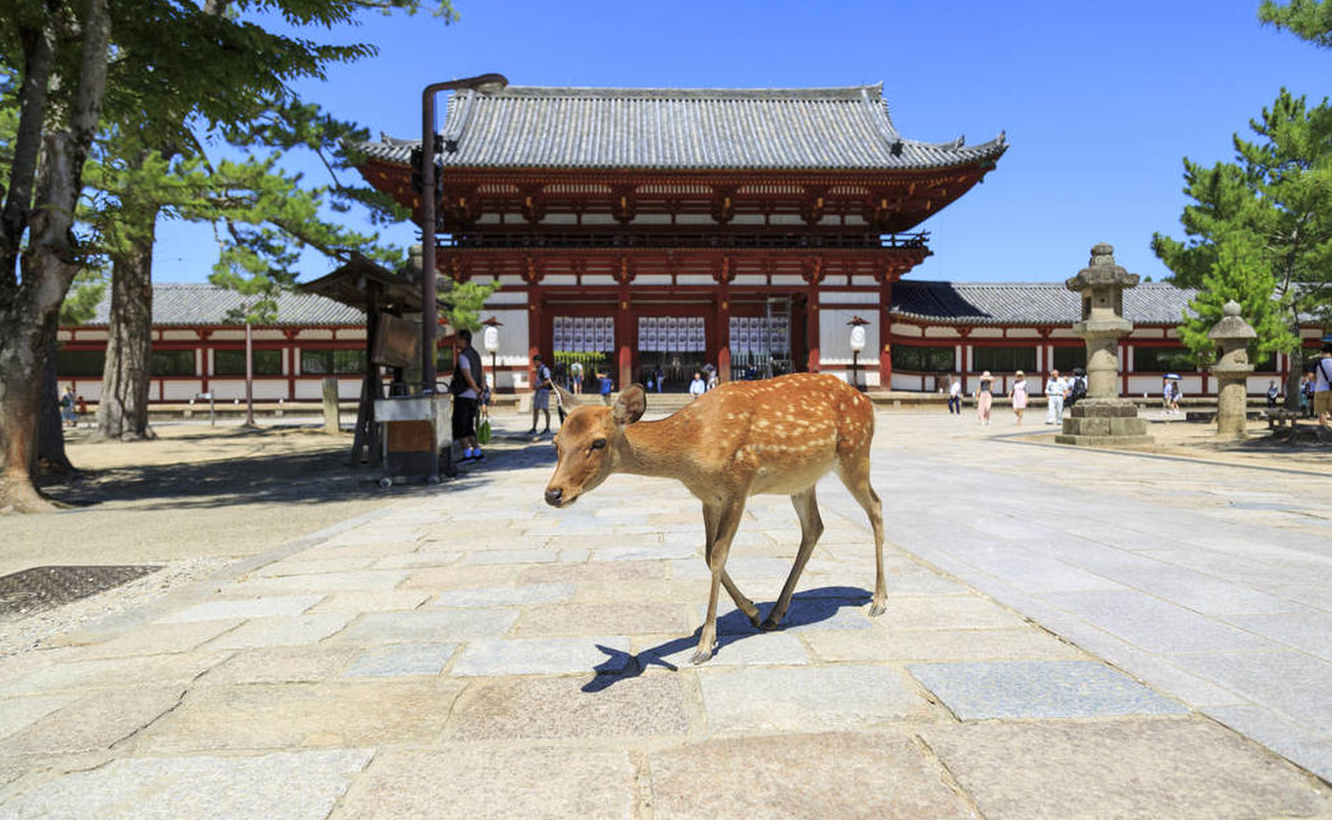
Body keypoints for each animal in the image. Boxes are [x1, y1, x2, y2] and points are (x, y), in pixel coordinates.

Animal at [543, 375, 884, 662]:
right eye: (556, 441)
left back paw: (878, 601)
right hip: (802, 481)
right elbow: (708, 555)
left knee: (876, 507)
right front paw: (752, 612)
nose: (553, 493)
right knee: (814, 527)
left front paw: (704, 646)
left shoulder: (738, 487)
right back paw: (774, 614)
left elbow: (719, 555)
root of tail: (867, 402)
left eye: (598, 442)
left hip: (856, 454)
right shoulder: (708, 497)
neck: (691, 449)